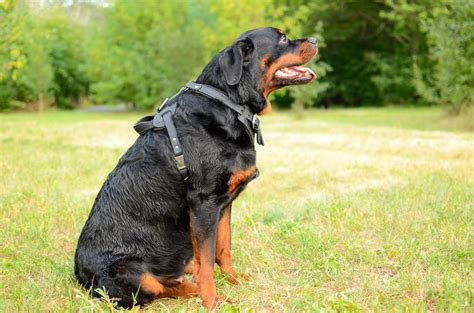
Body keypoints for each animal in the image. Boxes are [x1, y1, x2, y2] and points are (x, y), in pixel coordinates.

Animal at [75, 26, 318, 310]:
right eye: (282, 38)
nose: (315, 40)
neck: (228, 103)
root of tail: (79, 276)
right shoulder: (203, 203)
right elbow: (207, 262)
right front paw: (212, 300)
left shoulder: (223, 204)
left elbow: (222, 249)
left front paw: (233, 279)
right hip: (130, 272)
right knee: (159, 287)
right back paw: (193, 286)